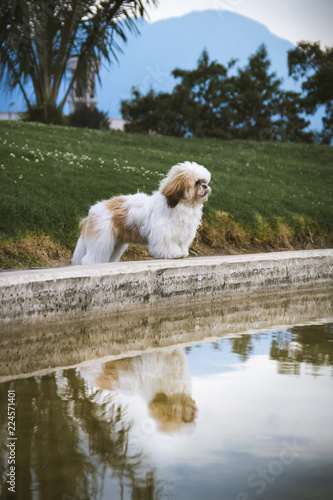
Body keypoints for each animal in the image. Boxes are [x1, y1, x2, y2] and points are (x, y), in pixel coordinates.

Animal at [72, 163, 210, 266]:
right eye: (197, 183)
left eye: (204, 181)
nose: (205, 186)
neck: (183, 206)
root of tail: (92, 211)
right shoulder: (164, 233)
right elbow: (167, 246)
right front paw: (173, 254)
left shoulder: (184, 233)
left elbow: (182, 245)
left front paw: (182, 253)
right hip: (102, 239)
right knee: (92, 257)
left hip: (115, 242)